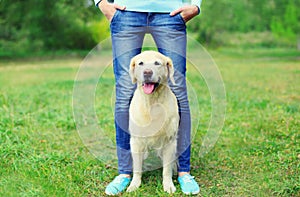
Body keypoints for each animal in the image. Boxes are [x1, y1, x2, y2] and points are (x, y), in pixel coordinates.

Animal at [126, 51, 178, 194]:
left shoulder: (170, 142)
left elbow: (167, 169)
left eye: (157, 63)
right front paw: (134, 184)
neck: (152, 102)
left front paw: (168, 185)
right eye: (141, 63)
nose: (147, 72)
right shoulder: (136, 142)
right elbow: (137, 168)